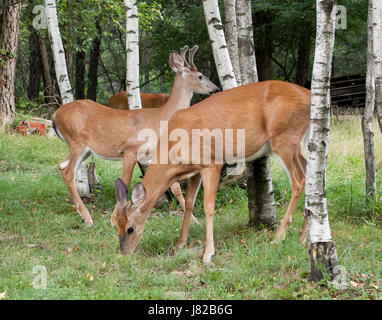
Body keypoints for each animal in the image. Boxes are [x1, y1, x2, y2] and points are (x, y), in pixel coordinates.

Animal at [53, 45, 221, 225]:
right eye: (200, 75)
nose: (216, 88)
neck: (160, 118)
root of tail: (55, 115)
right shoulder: (130, 149)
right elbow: (124, 182)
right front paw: (114, 219)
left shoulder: (154, 154)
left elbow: (175, 187)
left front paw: (194, 219)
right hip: (77, 142)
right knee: (68, 172)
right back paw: (87, 217)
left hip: (83, 149)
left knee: (61, 165)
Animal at [111, 79, 310, 262]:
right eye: (115, 226)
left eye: (130, 228)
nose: (124, 252)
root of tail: (309, 96)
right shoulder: (194, 171)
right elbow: (189, 203)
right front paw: (179, 244)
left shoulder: (211, 162)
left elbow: (208, 207)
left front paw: (209, 253)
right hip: (295, 143)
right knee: (309, 175)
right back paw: (303, 237)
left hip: (284, 137)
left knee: (299, 181)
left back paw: (280, 237)